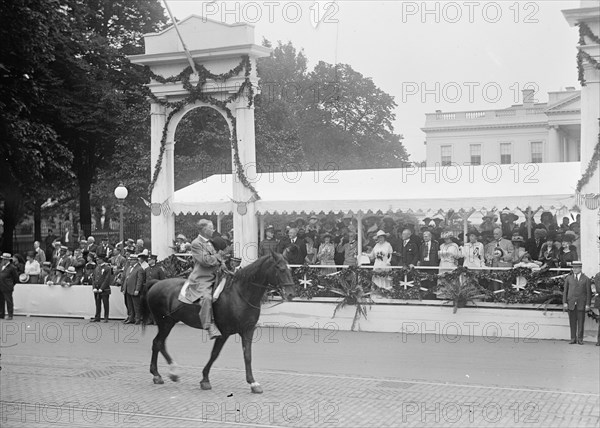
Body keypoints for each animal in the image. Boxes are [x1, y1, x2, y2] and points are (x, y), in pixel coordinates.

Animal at [143, 251, 298, 394]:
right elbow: (214, 354)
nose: (291, 294)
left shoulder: (247, 330)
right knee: (157, 343)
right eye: (280, 268)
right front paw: (205, 379)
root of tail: (156, 283)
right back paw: (162, 374)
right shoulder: (224, 332)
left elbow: (247, 356)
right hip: (165, 323)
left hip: (169, 322)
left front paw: (253, 383)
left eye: (289, 269)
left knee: (159, 343)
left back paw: (167, 373)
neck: (240, 294)